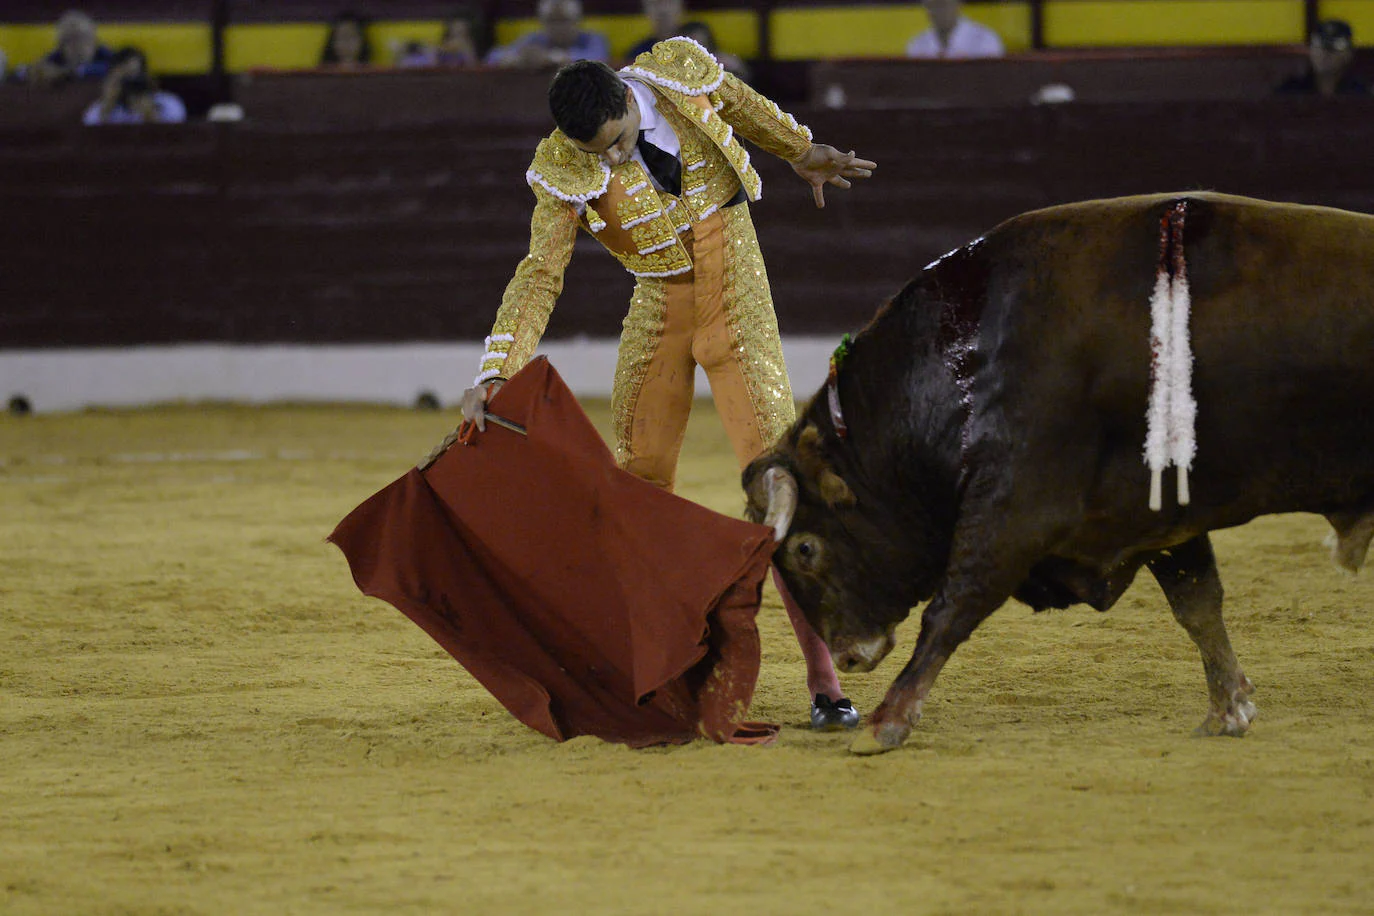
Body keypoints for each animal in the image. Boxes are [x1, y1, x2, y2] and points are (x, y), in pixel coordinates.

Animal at [747, 192, 1374, 752]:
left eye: (805, 548)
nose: (848, 655)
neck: (971, 363)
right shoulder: (1163, 516)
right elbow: (1198, 602)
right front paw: (1228, 709)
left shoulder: (1015, 506)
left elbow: (954, 604)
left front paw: (887, 723)